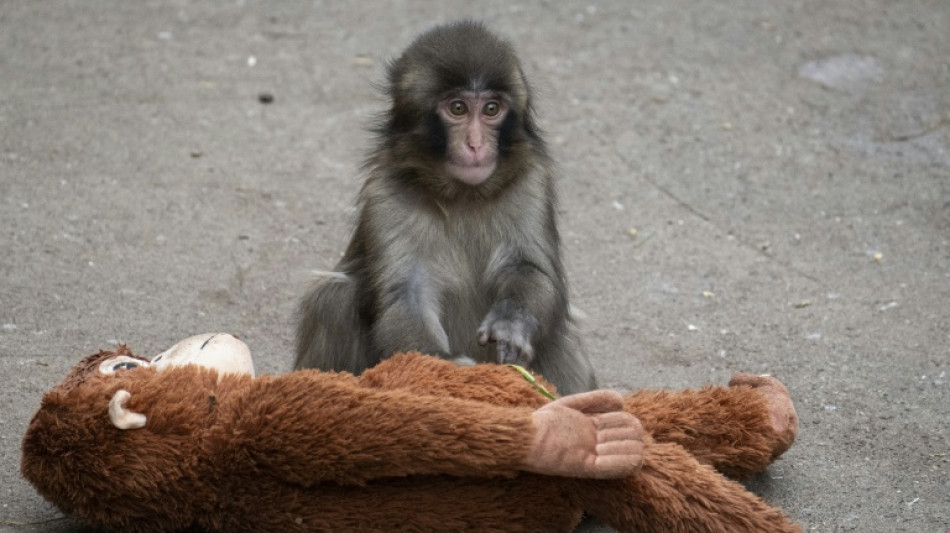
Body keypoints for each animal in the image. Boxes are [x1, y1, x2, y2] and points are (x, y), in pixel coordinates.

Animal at [294, 21, 597, 395]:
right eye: (457, 109)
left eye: (491, 109)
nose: (476, 145)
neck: (463, 195)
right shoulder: (386, 193)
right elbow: (408, 294)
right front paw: (445, 367)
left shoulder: (531, 183)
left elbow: (529, 269)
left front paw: (511, 322)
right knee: (332, 297)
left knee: (558, 332)